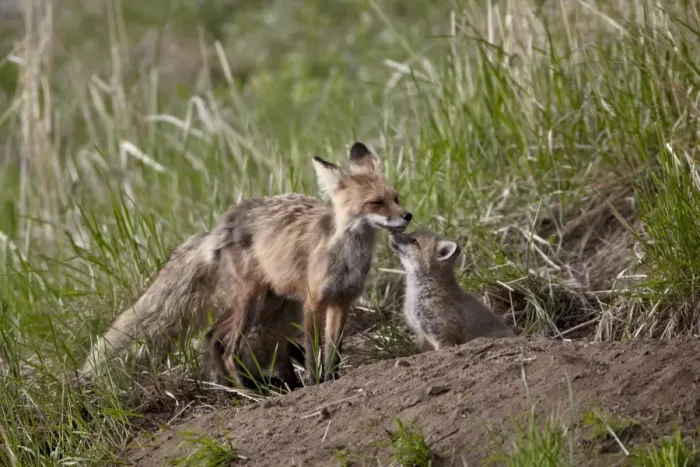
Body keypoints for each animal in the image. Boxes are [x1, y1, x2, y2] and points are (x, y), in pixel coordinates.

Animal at [213, 142, 412, 385]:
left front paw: (332, 377)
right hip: (252, 301)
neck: (346, 261)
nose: (408, 215)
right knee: (230, 351)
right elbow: (313, 348)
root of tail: (231, 218)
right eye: (376, 202)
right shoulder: (313, 301)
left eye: (396, 198)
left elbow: (334, 350)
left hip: (270, 301)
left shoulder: (342, 300)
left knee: (220, 337)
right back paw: (252, 388)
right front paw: (316, 380)